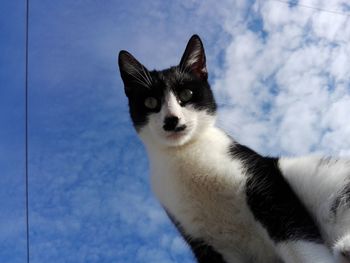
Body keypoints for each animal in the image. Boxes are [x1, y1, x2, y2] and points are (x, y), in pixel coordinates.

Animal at [118, 35, 350, 263]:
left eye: (186, 93)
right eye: (150, 102)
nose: (171, 120)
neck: (185, 153)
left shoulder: (266, 184)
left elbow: (299, 242)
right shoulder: (200, 240)